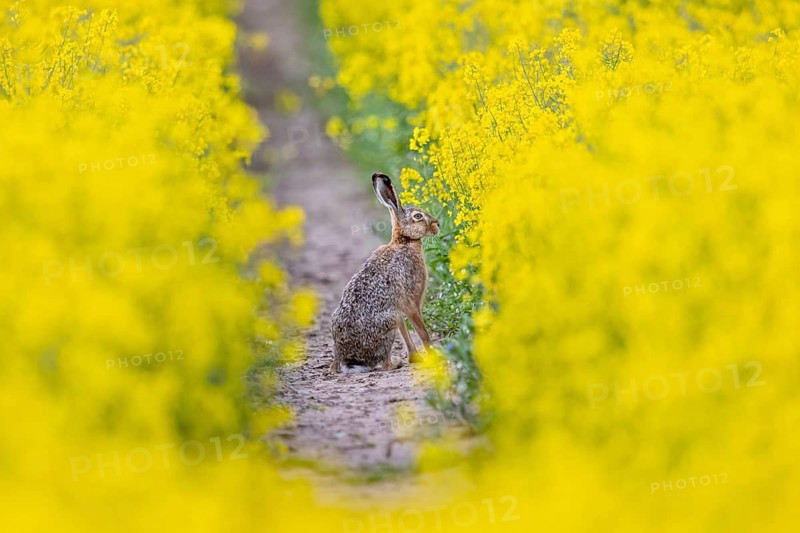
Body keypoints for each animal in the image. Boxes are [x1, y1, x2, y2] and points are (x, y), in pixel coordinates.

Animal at [330, 172, 440, 372]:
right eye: (418, 216)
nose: (438, 224)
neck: (404, 241)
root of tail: (352, 360)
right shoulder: (412, 302)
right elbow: (421, 330)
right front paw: (433, 355)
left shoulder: (399, 307)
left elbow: (406, 332)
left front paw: (415, 357)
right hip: (389, 322)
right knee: (385, 364)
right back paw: (396, 362)